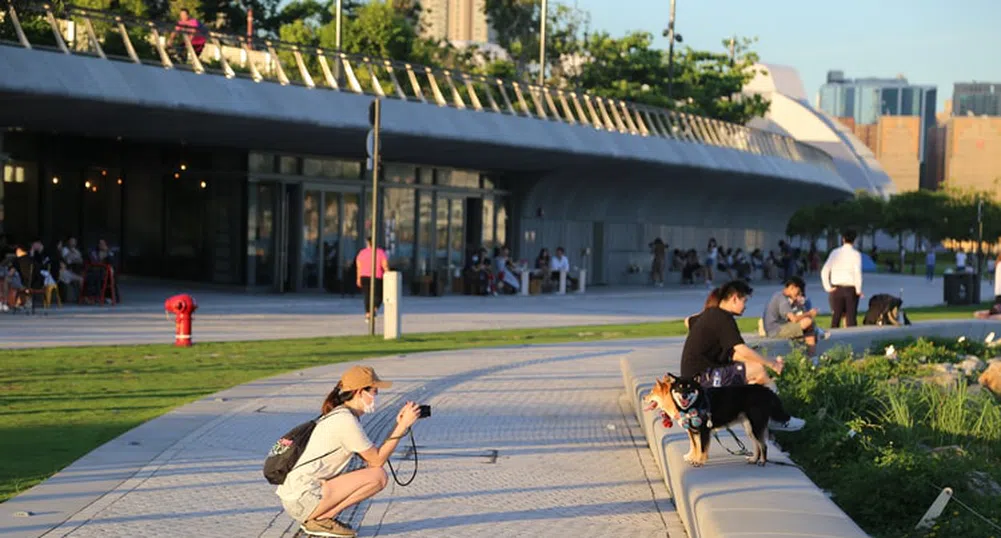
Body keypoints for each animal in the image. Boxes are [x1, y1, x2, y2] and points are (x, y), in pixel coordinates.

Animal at [640, 372, 796, 464]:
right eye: (679, 388)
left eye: (651, 392)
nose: (643, 397)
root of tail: (766, 391)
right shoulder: (692, 429)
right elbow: (695, 445)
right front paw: (692, 457)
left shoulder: (702, 429)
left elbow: (701, 447)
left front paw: (699, 461)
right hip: (749, 428)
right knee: (757, 445)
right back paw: (753, 459)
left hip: (756, 426)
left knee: (763, 445)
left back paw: (762, 462)